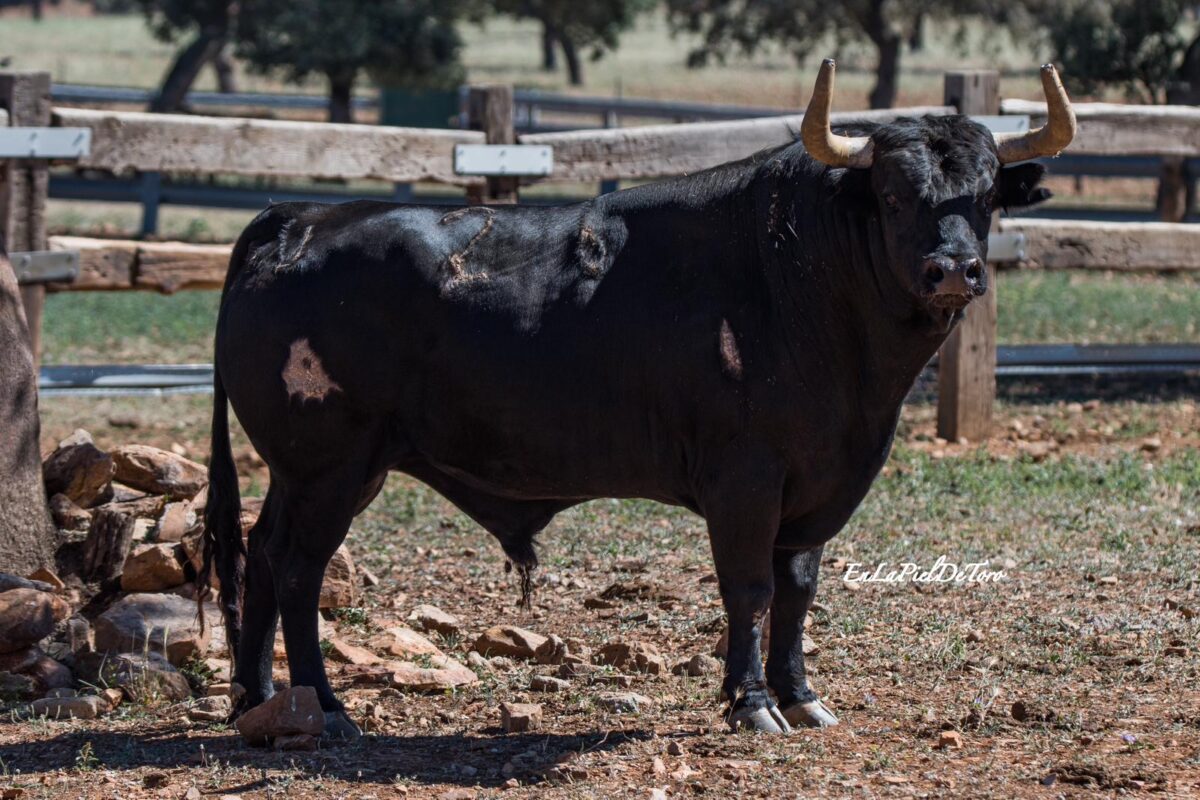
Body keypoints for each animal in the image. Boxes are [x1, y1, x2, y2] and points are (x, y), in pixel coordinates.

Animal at [204, 113, 1051, 738]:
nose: (954, 270)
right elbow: (749, 589)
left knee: (261, 553)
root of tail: (298, 217)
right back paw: (326, 709)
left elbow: (797, 588)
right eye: (896, 195)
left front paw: (801, 696)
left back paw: (259, 697)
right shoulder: (745, 480)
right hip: (329, 468)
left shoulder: (818, 485)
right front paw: (752, 705)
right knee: (297, 570)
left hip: (309, 472)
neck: (804, 283)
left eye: (984, 198)